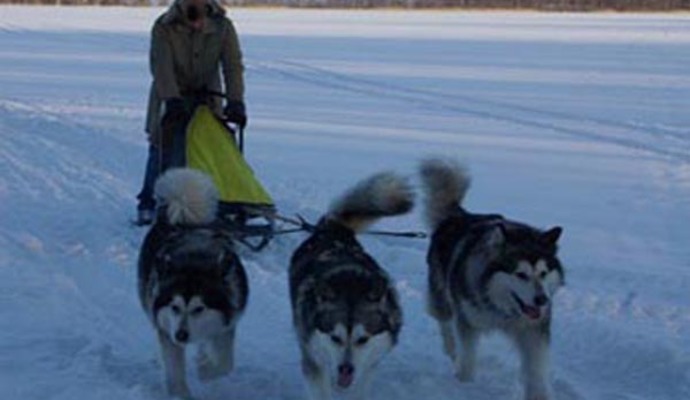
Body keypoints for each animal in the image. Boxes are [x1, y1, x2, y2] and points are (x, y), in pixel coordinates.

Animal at [138, 168, 248, 399]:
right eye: (174, 307)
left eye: (199, 309)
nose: (181, 335)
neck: (193, 259)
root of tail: (182, 214)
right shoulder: (166, 328)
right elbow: (174, 368)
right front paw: (180, 393)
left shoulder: (227, 323)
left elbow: (225, 364)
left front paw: (205, 370)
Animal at [289, 172, 413, 400]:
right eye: (335, 338)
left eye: (362, 339)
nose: (345, 369)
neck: (350, 283)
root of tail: (332, 229)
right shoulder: (313, 360)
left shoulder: (368, 368)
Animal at [419, 158, 564, 400]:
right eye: (520, 274)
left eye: (543, 273)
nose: (542, 300)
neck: (502, 310)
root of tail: (459, 215)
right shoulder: (467, 321)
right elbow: (467, 358)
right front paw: (464, 384)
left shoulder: (533, 330)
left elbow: (536, 368)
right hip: (440, 291)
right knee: (444, 319)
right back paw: (450, 348)